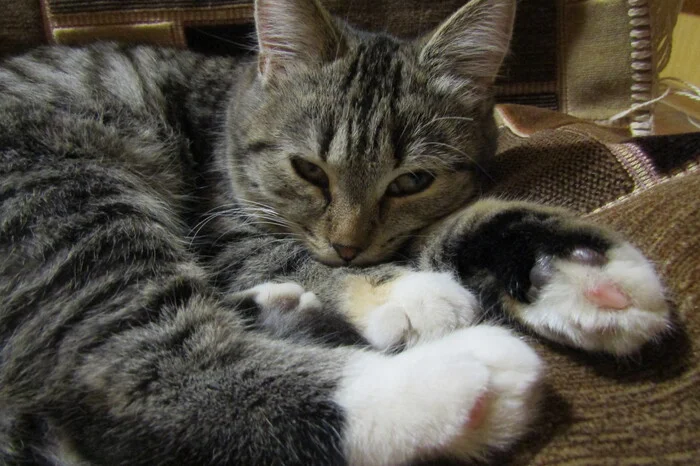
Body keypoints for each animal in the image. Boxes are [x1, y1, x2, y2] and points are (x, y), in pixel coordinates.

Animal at [0, 0, 672, 464]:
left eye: (411, 181)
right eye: (308, 170)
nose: (349, 246)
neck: (225, 113)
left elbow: (466, 221)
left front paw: (587, 274)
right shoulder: (227, 227)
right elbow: (282, 252)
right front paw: (411, 292)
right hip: (67, 193)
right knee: (132, 372)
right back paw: (457, 385)